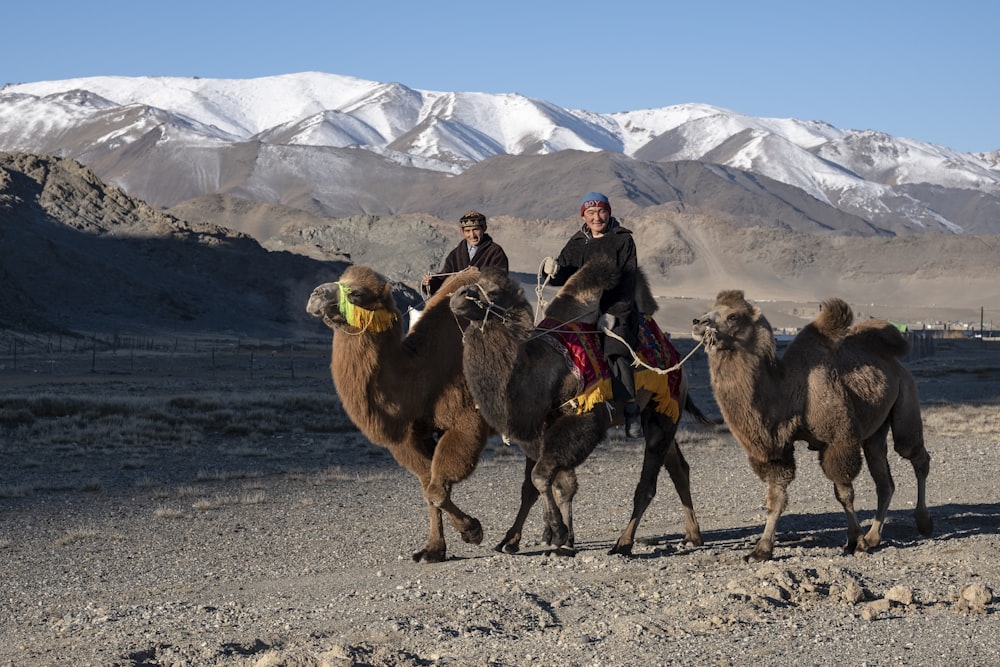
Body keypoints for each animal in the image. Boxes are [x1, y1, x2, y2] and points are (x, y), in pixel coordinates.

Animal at [304, 266, 492, 564]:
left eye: (356, 293)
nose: (316, 294)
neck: (423, 374)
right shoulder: (412, 436)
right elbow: (429, 487)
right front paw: (433, 550)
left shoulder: (467, 422)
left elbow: (437, 488)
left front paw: (472, 531)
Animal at [446, 260, 712, 560]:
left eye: (493, 290)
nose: (458, 296)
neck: (539, 373)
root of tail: (676, 359)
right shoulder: (538, 432)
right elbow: (537, 487)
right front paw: (515, 540)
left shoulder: (581, 420)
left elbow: (542, 477)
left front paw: (558, 534)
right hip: (660, 412)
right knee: (679, 469)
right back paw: (693, 536)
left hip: (662, 412)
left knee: (648, 484)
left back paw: (624, 543)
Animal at [692, 292, 932, 564]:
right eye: (710, 309)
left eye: (733, 316)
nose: (698, 322)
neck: (789, 392)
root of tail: (898, 363)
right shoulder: (778, 450)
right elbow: (775, 497)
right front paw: (761, 550)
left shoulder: (839, 439)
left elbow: (844, 492)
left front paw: (855, 542)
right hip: (874, 431)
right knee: (885, 481)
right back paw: (873, 537)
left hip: (906, 399)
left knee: (914, 453)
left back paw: (923, 523)